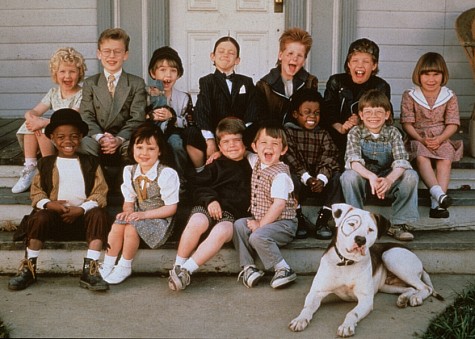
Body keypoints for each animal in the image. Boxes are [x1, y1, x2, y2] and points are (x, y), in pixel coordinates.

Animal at [288, 203, 444, 338]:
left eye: (371, 230)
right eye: (351, 224)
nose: (360, 239)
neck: (347, 262)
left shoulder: (366, 299)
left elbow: (352, 313)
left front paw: (347, 326)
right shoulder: (316, 292)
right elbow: (307, 308)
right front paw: (300, 319)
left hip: (390, 256)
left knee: (425, 288)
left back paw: (416, 298)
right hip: (386, 285)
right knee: (410, 288)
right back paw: (404, 298)